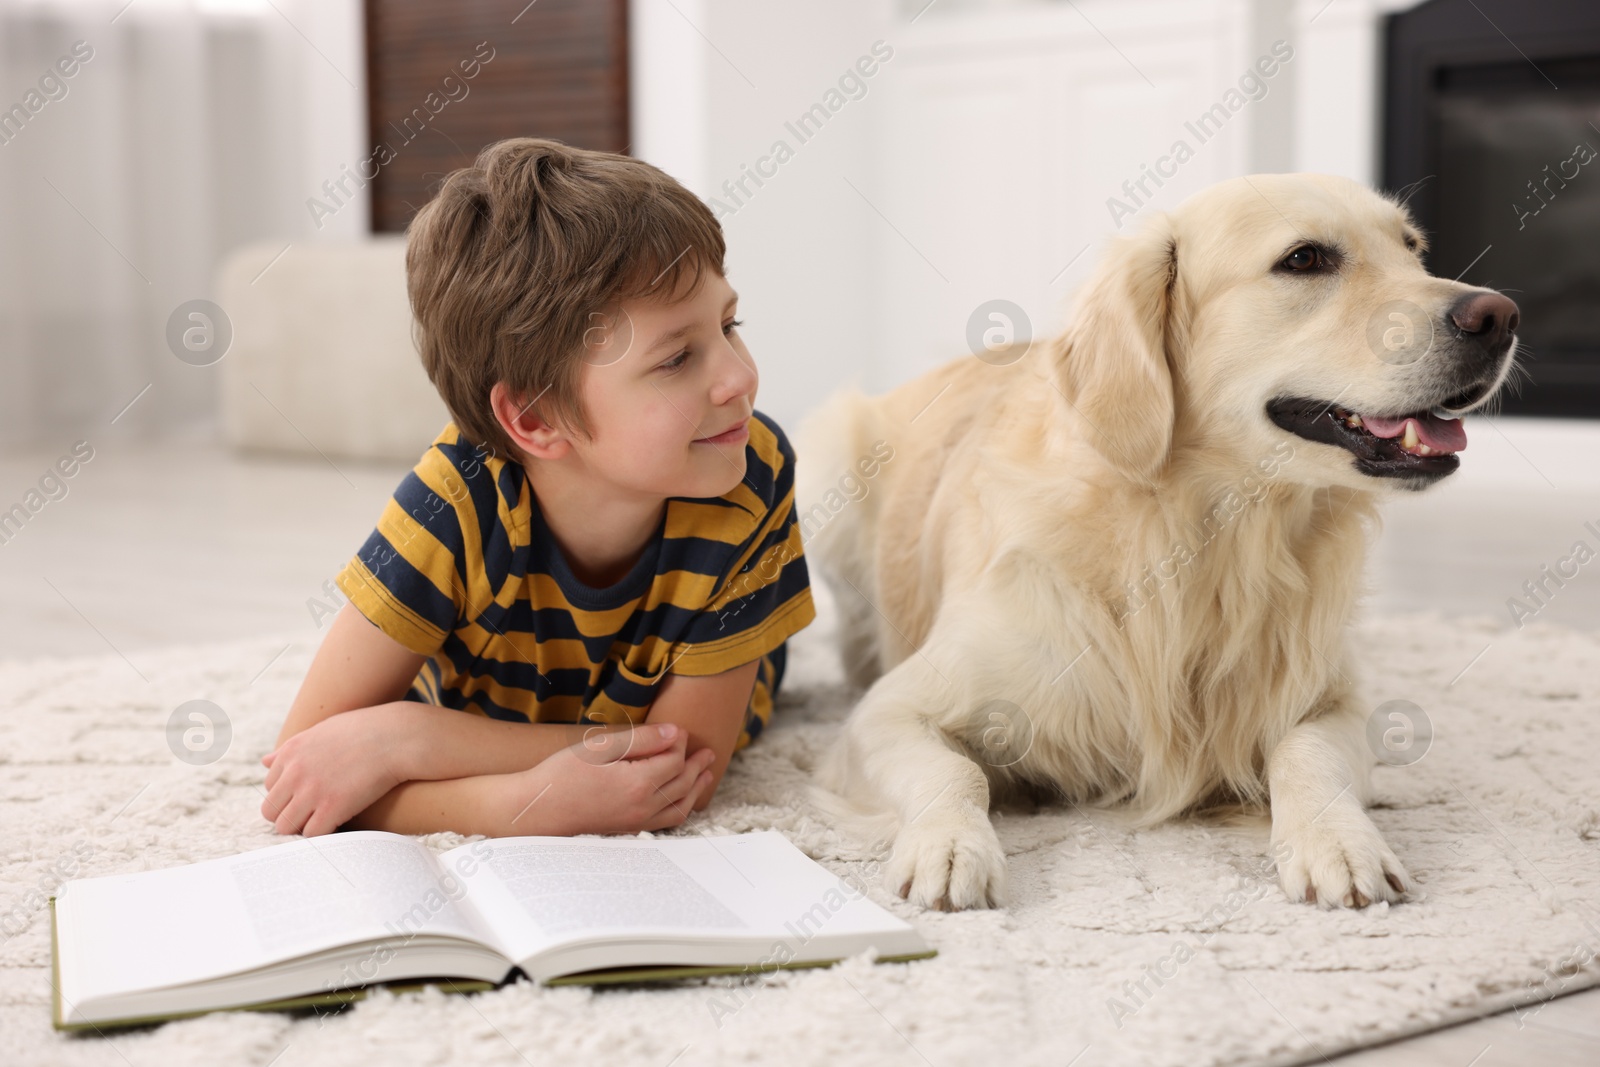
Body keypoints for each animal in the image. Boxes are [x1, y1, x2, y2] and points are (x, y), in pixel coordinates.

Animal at [800, 171, 1523, 915]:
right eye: (1304, 259)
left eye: (1412, 249)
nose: (1500, 315)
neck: (1206, 535)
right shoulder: (891, 710)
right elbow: (953, 770)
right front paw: (949, 846)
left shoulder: (1334, 701)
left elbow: (1308, 753)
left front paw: (1341, 843)